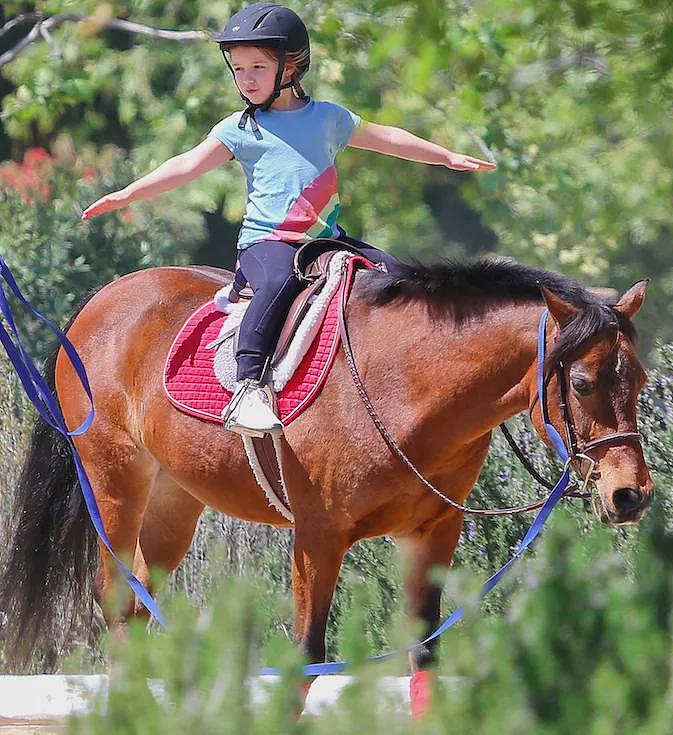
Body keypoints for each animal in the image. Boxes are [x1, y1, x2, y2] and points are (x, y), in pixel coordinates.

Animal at [0, 258, 652, 680]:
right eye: (582, 383)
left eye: (641, 380)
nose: (632, 494)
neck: (404, 384)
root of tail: (97, 305)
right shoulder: (318, 537)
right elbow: (307, 655)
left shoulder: (432, 534)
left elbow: (423, 656)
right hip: (116, 486)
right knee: (114, 605)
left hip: (173, 502)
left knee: (137, 609)